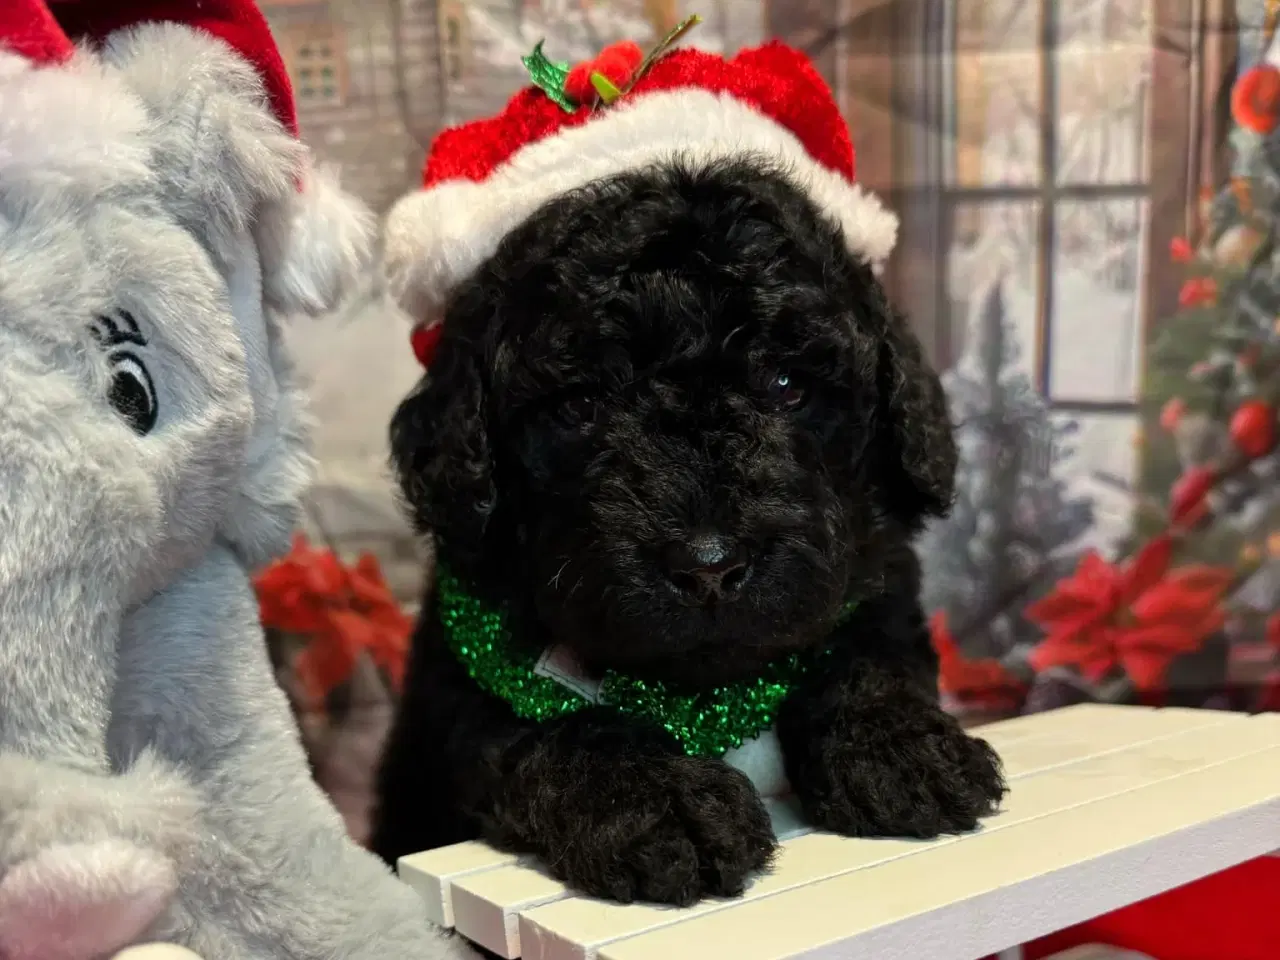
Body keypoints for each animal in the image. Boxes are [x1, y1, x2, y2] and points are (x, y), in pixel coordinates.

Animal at [373, 160, 1008, 911]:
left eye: (787, 385)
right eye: (581, 404)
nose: (708, 566)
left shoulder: (878, 580)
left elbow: (868, 649)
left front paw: (900, 746)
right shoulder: (461, 695)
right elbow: (558, 726)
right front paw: (663, 803)